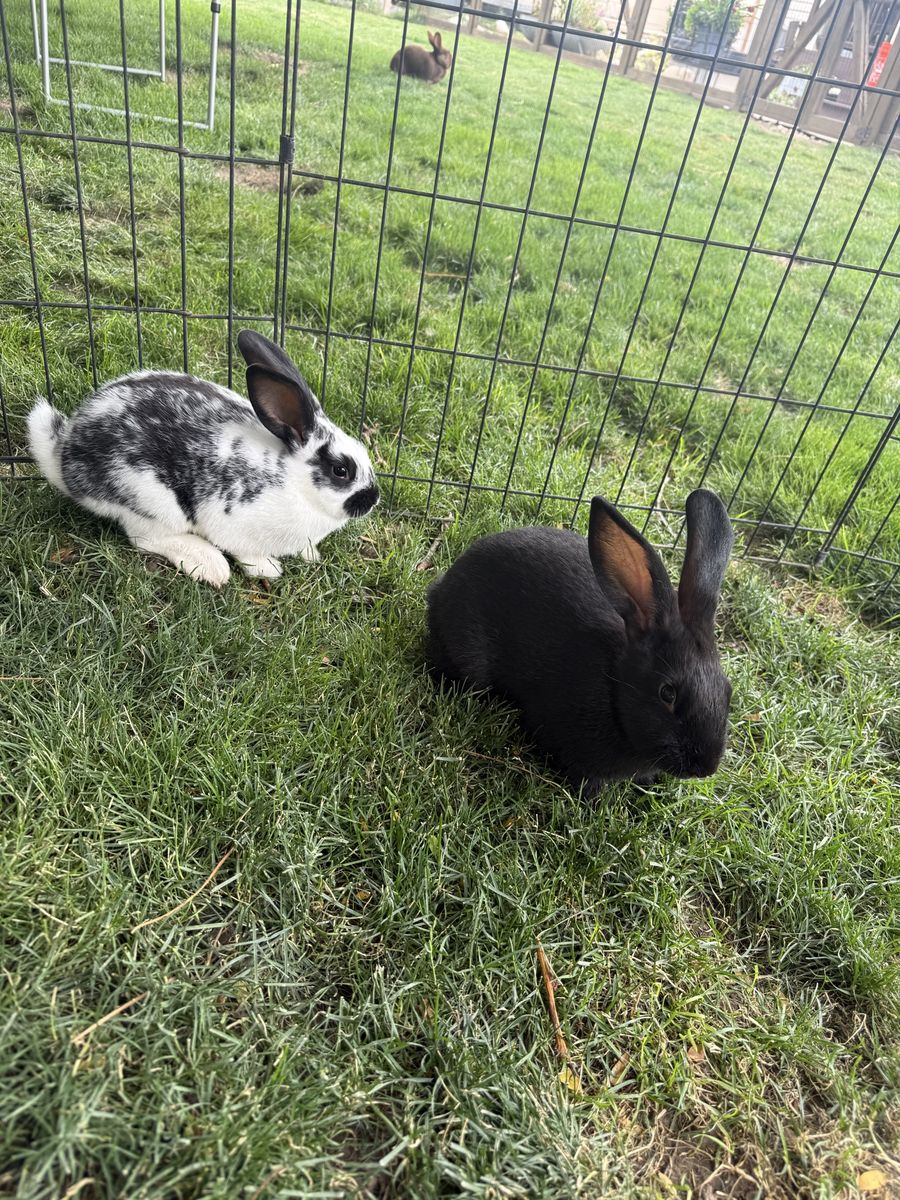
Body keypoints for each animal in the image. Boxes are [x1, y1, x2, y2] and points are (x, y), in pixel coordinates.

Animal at [26, 330, 379, 587]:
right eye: (341, 470)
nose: (373, 498)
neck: (295, 482)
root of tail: (65, 457)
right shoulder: (234, 524)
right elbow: (245, 551)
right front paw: (267, 568)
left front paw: (310, 554)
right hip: (150, 502)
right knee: (147, 539)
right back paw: (209, 565)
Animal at [426, 490, 734, 795]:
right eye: (667, 693)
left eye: (727, 690)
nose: (705, 768)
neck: (614, 689)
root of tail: (441, 589)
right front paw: (594, 800)